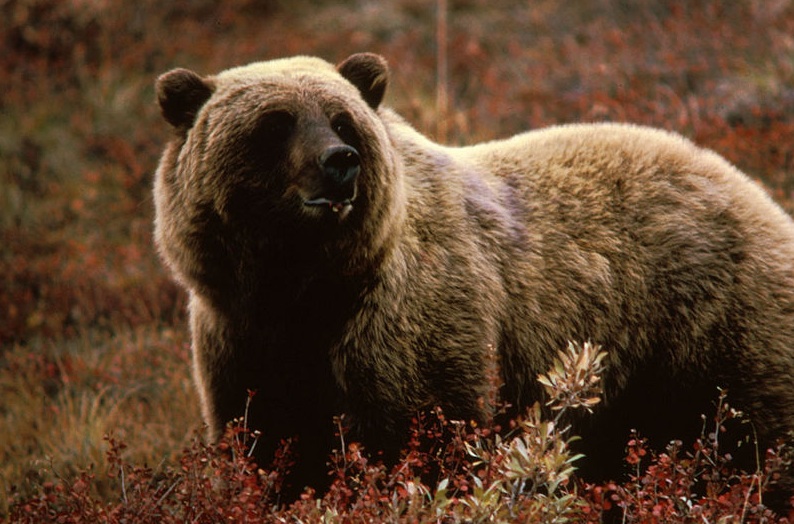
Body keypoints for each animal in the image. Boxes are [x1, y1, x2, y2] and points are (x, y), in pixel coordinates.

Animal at [153, 53, 794, 509]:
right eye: (276, 123)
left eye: (341, 120)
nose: (339, 162)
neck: (304, 287)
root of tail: (751, 187)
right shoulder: (240, 338)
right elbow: (266, 445)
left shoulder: (407, 324)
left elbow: (424, 438)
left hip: (710, 327)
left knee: (759, 436)